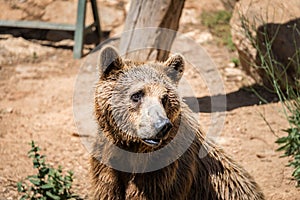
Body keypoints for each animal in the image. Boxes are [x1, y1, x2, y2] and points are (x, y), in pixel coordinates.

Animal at [89, 46, 264, 199]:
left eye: (164, 98)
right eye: (137, 94)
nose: (162, 126)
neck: (133, 150)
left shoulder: (162, 172)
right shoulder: (107, 164)